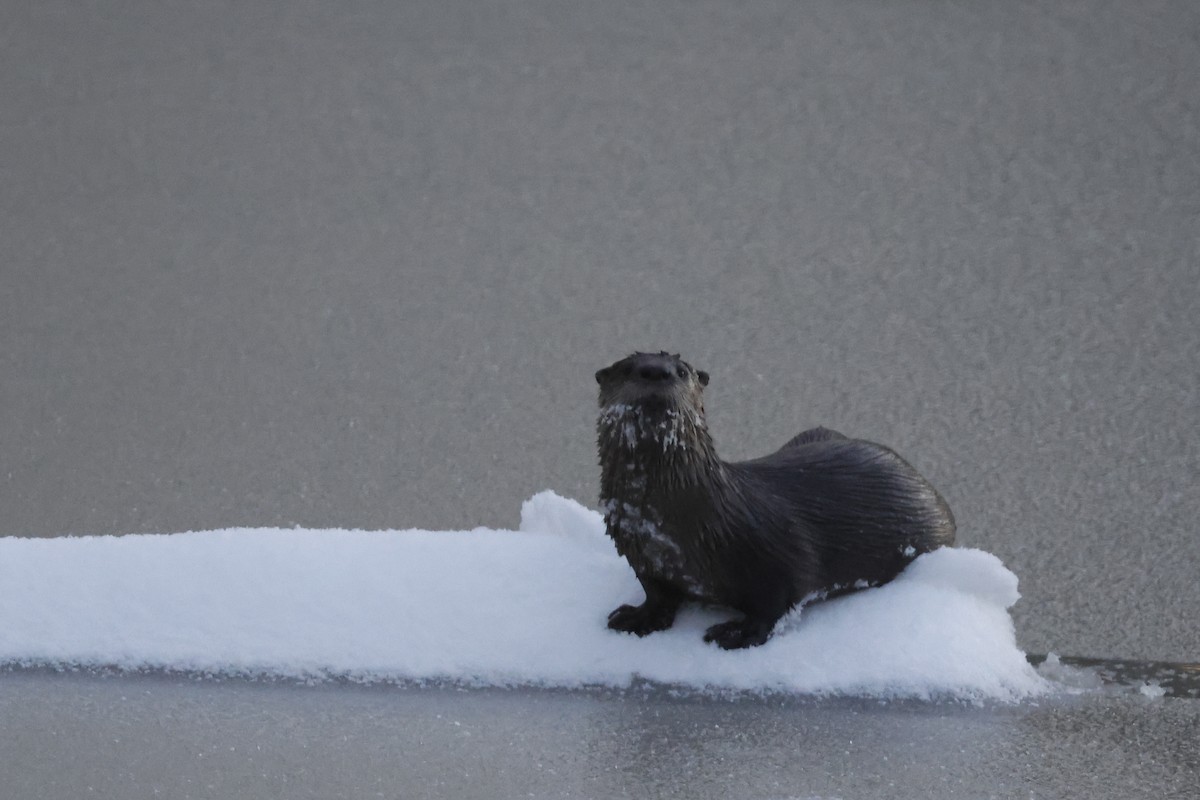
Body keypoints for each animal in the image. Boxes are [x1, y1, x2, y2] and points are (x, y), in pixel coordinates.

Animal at [595, 351, 956, 649]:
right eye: (627, 367)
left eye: (682, 371)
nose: (656, 371)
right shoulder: (641, 556)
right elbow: (656, 594)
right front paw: (638, 617)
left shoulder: (774, 552)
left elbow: (776, 601)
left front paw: (738, 633)